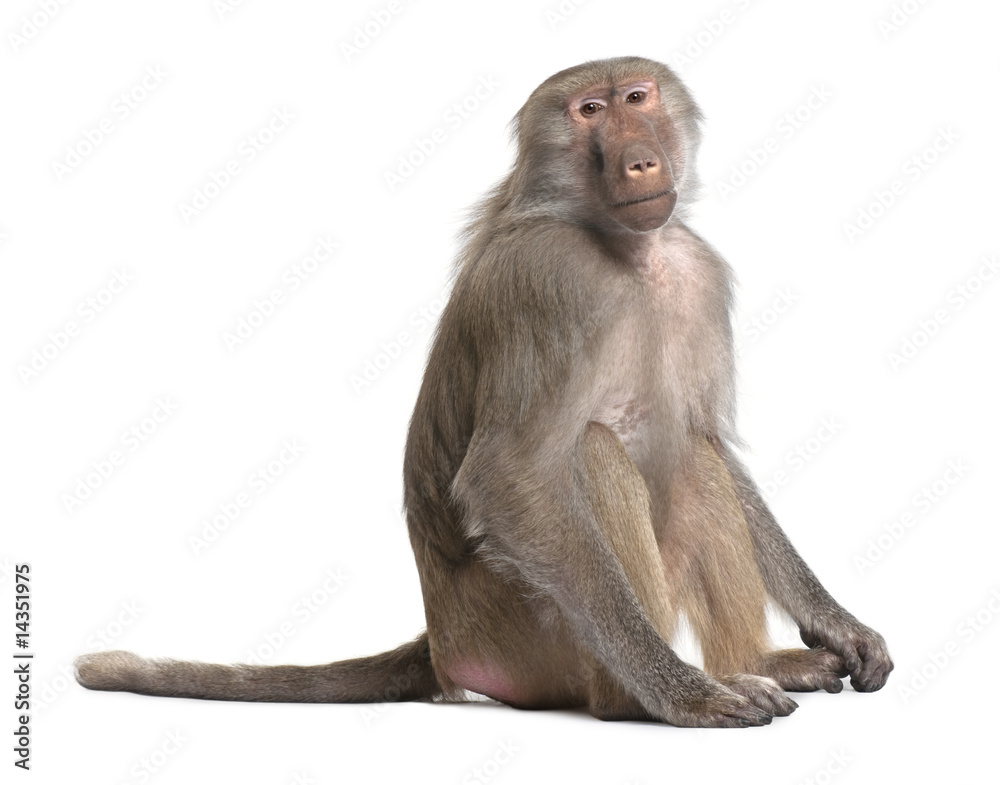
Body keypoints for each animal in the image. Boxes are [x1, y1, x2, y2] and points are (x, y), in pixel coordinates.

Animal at [75, 56, 892, 727]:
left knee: (691, 459)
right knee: (594, 456)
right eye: (588, 111)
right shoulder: (548, 279)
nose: (639, 161)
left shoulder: (695, 272)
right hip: (529, 632)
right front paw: (682, 693)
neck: (626, 252)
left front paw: (833, 622)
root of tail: (443, 637)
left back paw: (754, 662)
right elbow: (506, 471)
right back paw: (641, 697)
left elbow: (705, 438)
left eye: (637, 97)